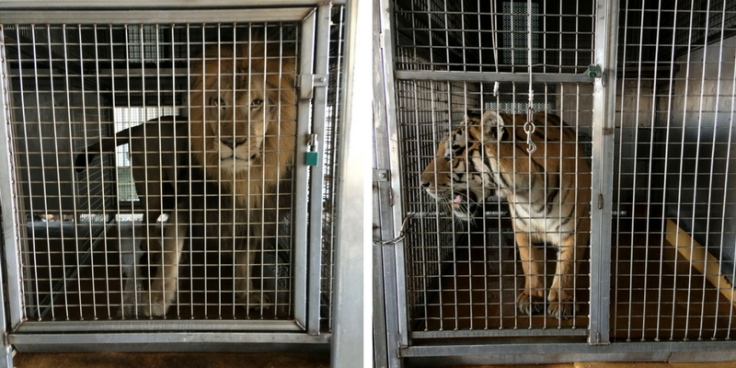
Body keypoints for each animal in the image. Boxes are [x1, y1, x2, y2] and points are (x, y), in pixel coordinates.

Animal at [422, 110, 588, 320]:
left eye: (452, 155)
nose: (422, 183)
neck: (530, 194)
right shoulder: (522, 228)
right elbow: (530, 264)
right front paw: (532, 297)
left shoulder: (574, 228)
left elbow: (567, 266)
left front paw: (561, 302)